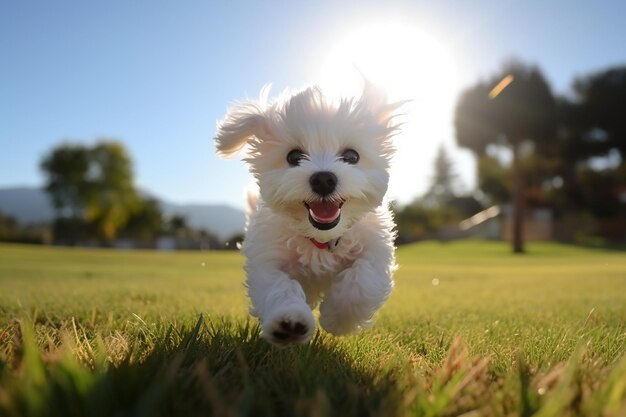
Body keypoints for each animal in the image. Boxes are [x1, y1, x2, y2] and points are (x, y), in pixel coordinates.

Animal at [214, 82, 400, 344]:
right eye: (294, 156)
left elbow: (362, 281)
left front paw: (337, 317)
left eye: (352, 156)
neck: (320, 240)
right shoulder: (268, 258)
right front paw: (289, 321)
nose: (323, 179)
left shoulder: (375, 248)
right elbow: (278, 287)